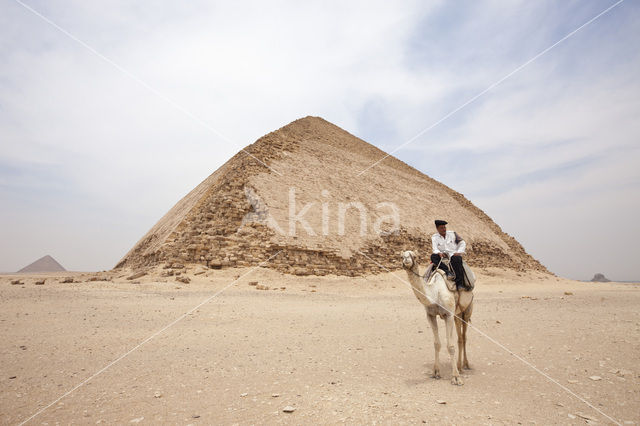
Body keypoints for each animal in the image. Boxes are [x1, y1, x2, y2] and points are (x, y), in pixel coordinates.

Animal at [402, 250, 472, 386]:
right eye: (401, 256)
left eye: (415, 256)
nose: (406, 260)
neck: (435, 293)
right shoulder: (431, 315)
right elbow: (437, 343)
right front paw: (435, 372)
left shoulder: (448, 315)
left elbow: (450, 346)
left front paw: (456, 378)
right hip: (457, 314)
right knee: (460, 338)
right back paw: (459, 366)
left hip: (467, 310)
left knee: (464, 336)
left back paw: (466, 365)